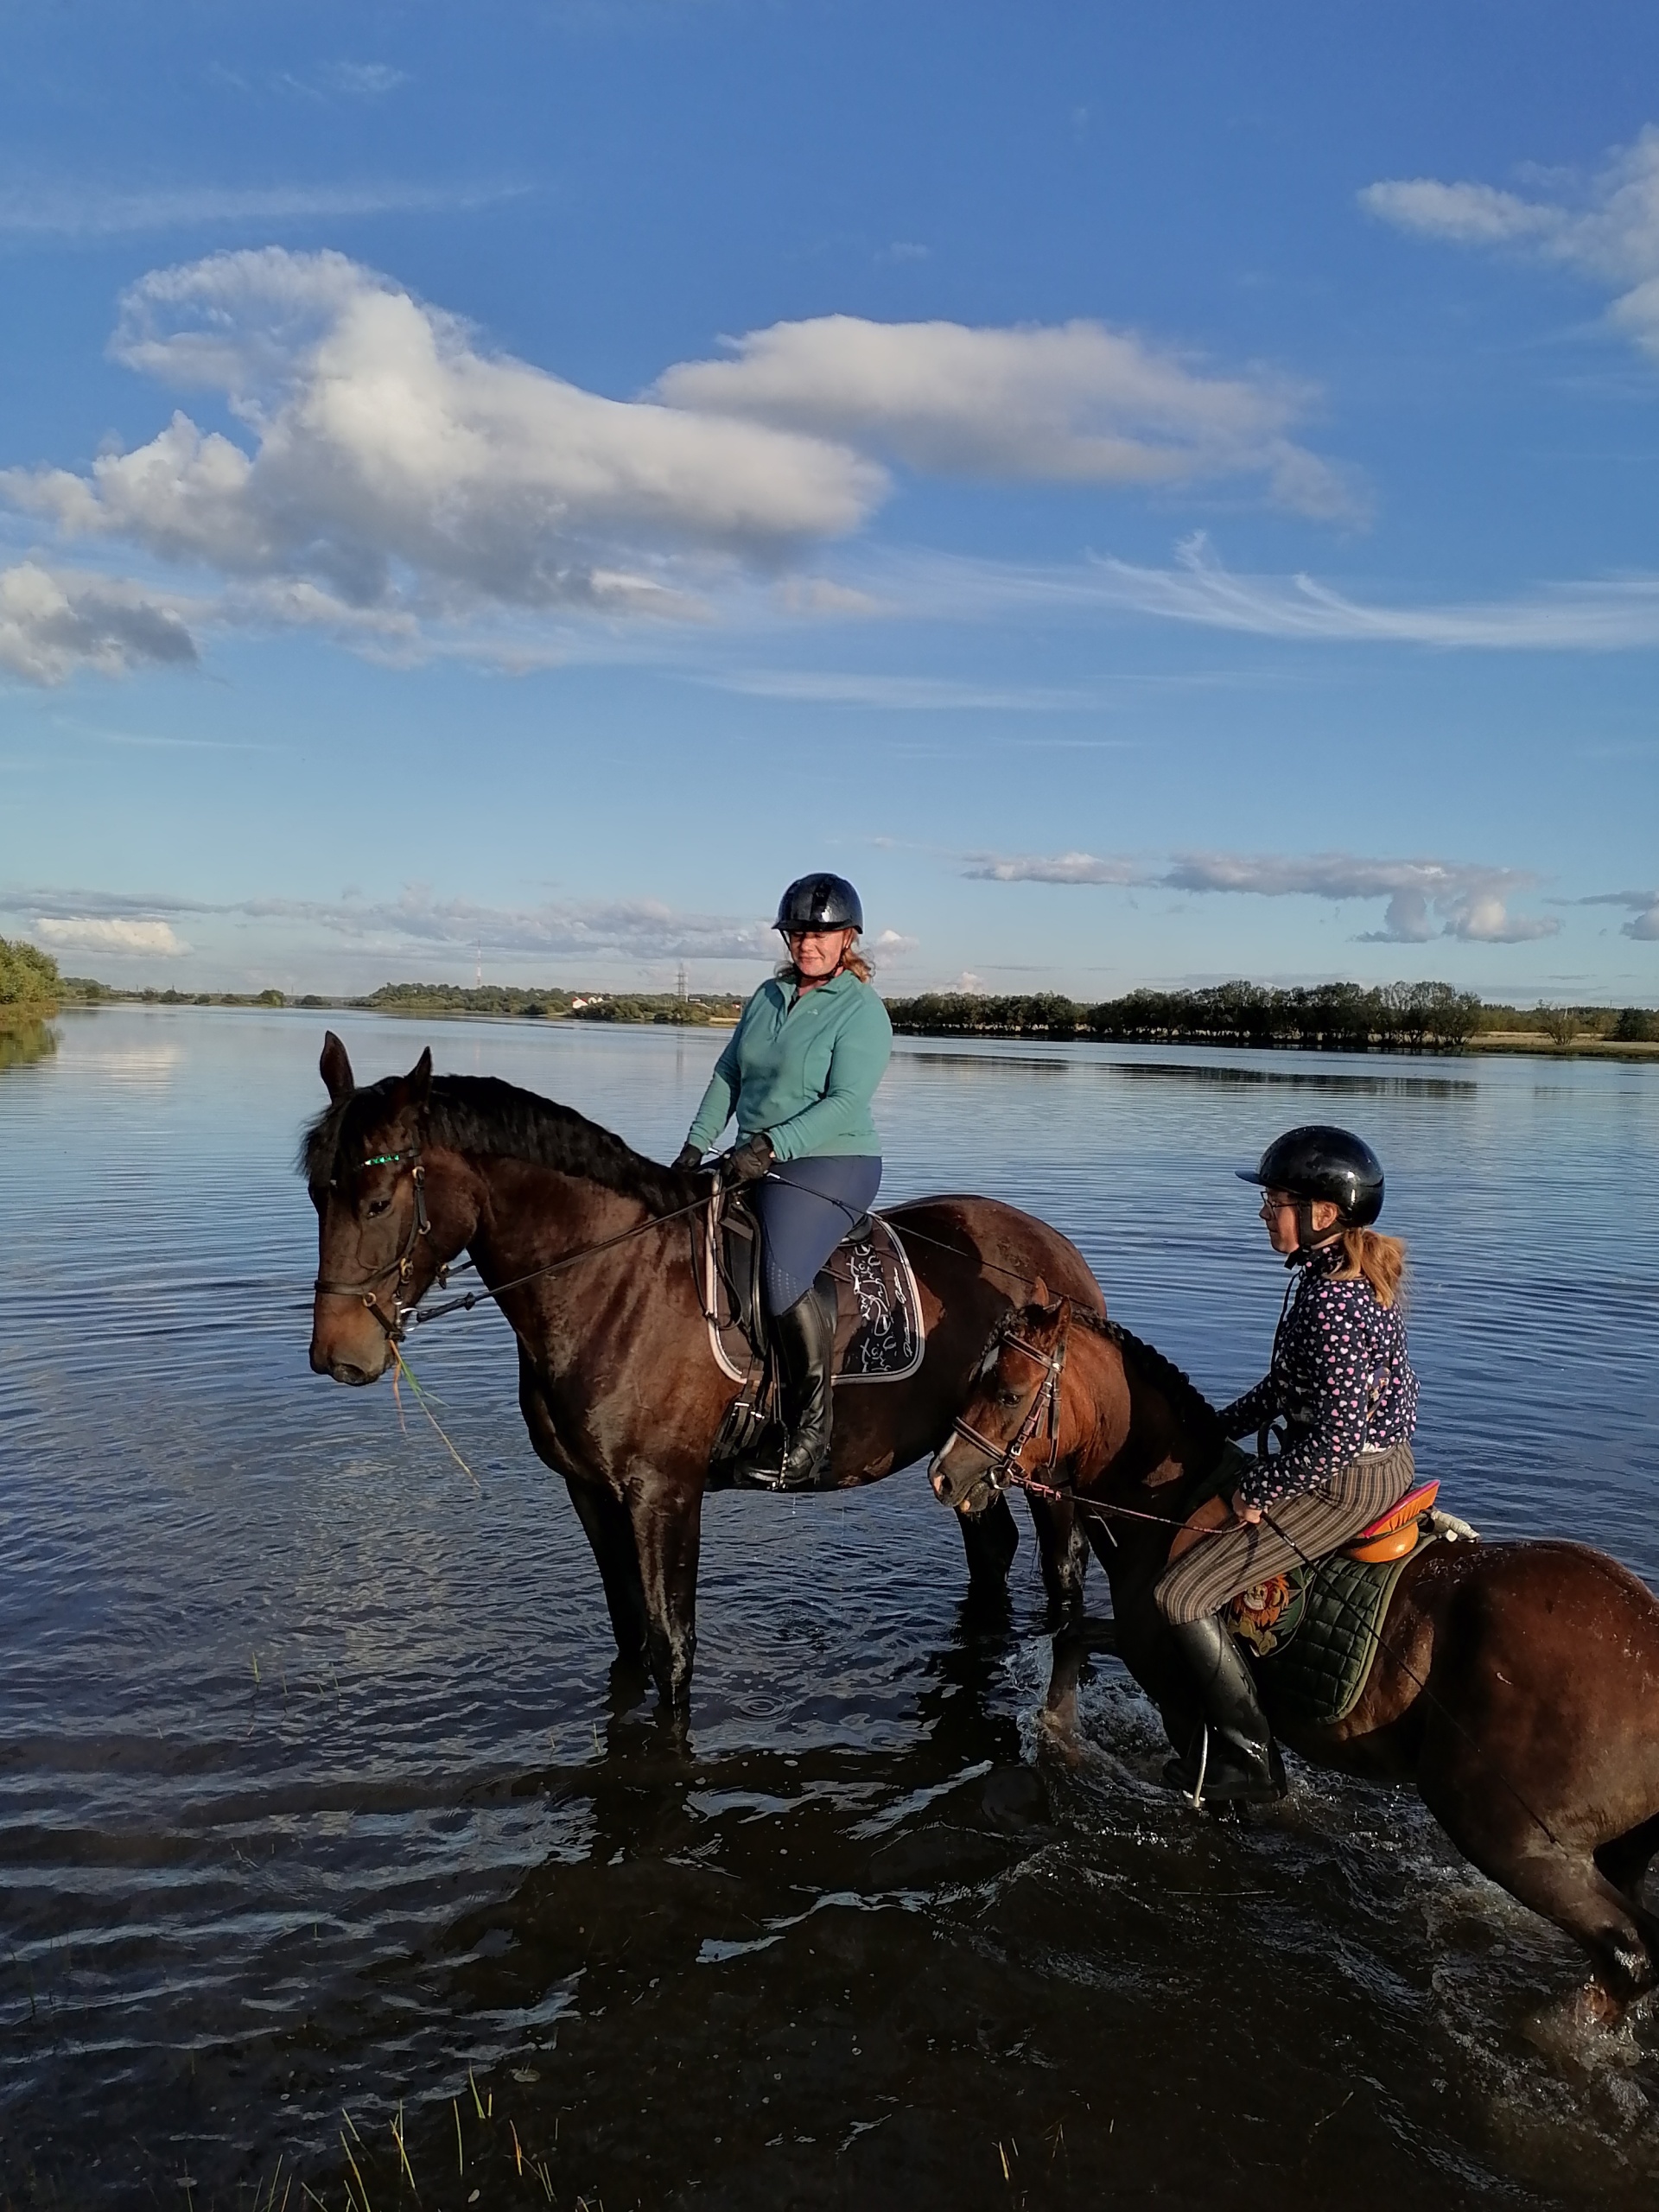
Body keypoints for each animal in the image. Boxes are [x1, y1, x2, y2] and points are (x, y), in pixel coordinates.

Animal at [302, 1035, 1106, 1707]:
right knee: (992, 1548)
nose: (338, 1355)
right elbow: (630, 1635)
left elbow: (672, 1647)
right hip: (972, 1454)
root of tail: (1056, 1251)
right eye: (316, 1194)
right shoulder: (589, 1491)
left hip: (1043, 1463)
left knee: (1064, 1567)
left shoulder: (665, 1493)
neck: (611, 1282)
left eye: (378, 1202)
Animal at [929, 1292, 1659, 2025]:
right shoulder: (1145, 1646)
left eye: (1009, 1392)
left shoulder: (1182, 1691)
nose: (942, 1476)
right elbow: (1074, 1636)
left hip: (1513, 1837)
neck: (1166, 1507)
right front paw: (1058, 1733)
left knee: (1628, 1951)